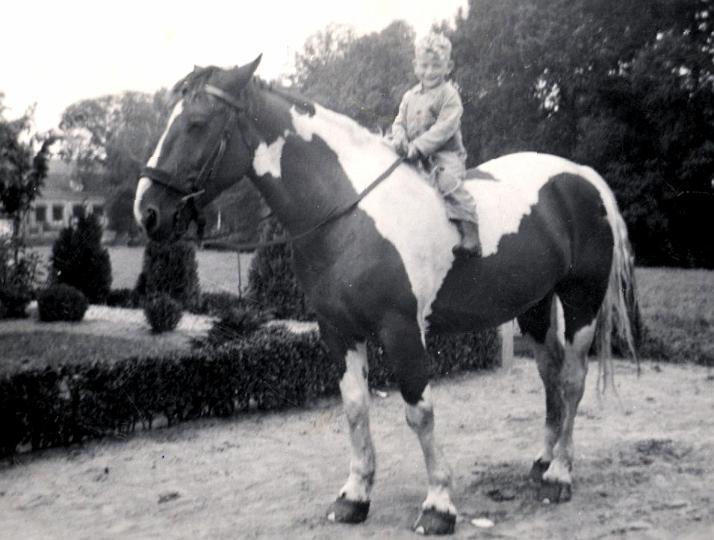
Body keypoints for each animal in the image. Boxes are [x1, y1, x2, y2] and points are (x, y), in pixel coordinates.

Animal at [133, 57, 638, 535]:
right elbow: (356, 409)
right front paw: (354, 497)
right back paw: (542, 462)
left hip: (580, 302)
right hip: (533, 307)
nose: (148, 211)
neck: (348, 211)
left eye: (197, 122)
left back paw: (559, 476)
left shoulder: (402, 331)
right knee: (550, 375)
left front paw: (438, 506)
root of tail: (582, 176)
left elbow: (419, 412)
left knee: (571, 381)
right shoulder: (338, 331)